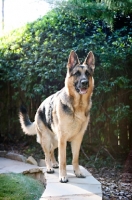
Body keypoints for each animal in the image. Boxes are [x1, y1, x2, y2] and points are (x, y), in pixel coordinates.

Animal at [19, 50, 95, 183]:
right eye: (77, 73)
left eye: (87, 73)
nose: (85, 82)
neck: (77, 106)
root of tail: (39, 107)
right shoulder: (63, 140)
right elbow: (63, 160)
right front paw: (63, 176)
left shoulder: (77, 139)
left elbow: (75, 159)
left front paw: (77, 172)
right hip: (46, 139)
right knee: (46, 153)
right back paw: (49, 167)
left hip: (55, 140)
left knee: (51, 151)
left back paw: (54, 163)